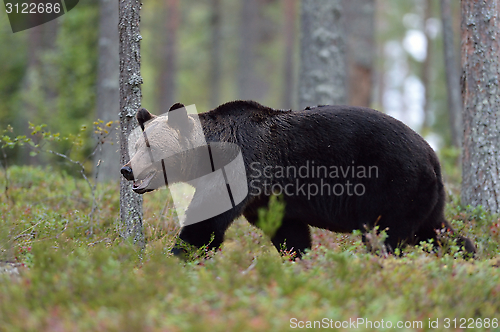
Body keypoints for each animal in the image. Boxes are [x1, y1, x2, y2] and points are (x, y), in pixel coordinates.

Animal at [119, 100, 474, 256]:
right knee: (435, 230)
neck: (208, 156)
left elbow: (205, 225)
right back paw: (467, 256)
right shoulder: (267, 198)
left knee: (390, 236)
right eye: (134, 145)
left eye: (150, 147)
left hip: (393, 184)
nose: (127, 169)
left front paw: (176, 258)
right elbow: (289, 233)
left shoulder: (244, 168)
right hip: (425, 196)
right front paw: (298, 260)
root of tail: (432, 154)